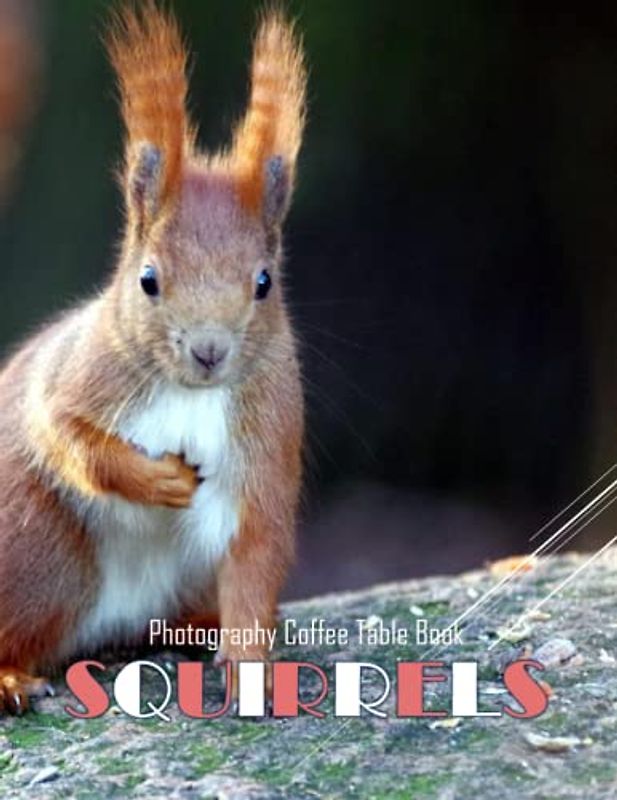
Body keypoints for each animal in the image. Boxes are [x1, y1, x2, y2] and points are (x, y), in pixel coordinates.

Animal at [0, 0, 306, 714]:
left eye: (263, 282)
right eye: (148, 280)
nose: (209, 351)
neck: (192, 393)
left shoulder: (270, 436)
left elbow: (257, 549)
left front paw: (252, 665)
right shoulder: (76, 375)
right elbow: (67, 436)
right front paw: (157, 481)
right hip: (35, 548)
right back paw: (10, 679)